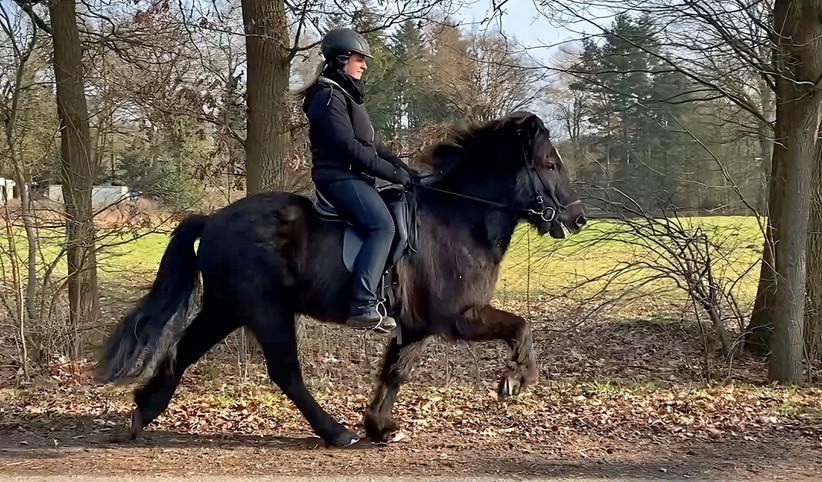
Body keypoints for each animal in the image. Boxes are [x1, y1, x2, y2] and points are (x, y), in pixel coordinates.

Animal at [99, 111, 587, 447]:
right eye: (548, 163)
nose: (578, 219)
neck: (460, 216)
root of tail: (214, 219)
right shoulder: (459, 317)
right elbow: (521, 326)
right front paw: (517, 380)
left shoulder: (417, 325)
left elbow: (395, 371)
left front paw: (380, 426)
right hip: (265, 311)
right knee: (285, 373)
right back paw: (334, 432)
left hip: (226, 308)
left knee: (183, 351)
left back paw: (143, 413)